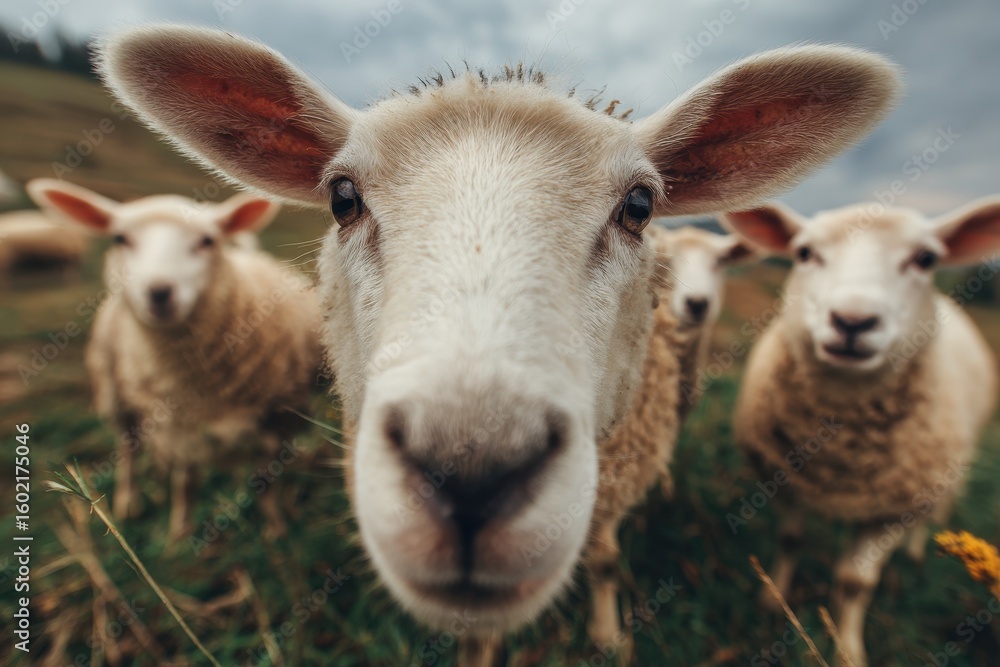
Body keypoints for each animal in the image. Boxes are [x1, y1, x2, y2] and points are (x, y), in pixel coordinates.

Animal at [26, 178, 324, 542]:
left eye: (207, 240)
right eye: (120, 238)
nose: (159, 292)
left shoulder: (279, 416)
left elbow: (267, 480)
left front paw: (276, 528)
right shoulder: (181, 422)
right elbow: (186, 481)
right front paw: (180, 534)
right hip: (116, 394)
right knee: (129, 449)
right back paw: (129, 502)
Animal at [723, 199, 1000, 667]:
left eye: (926, 259)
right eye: (804, 253)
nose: (852, 320)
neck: (841, 449)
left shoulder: (892, 508)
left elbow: (855, 582)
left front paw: (848, 650)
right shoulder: (784, 480)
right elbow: (790, 539)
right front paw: (772, 600)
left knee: (935, 511)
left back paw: (917, 552)